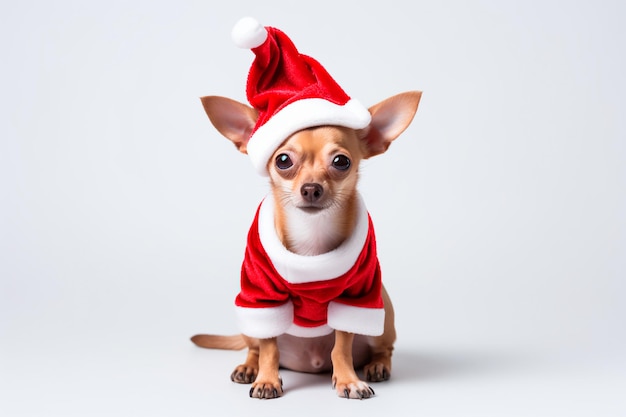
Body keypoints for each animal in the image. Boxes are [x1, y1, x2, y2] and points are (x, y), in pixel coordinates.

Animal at [191, 90, 420, 396]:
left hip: (382, 312)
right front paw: (267, 379)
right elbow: (269, 348)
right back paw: (249, 367)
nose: (311, 188)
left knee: (384, 349)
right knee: (255, 347)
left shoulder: (353, 297)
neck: (312, 234)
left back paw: (377, 366)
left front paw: (348, 380)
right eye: (283, 160)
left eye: (341, 162)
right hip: (248, 316)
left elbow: (341, 347)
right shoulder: (262, 297)